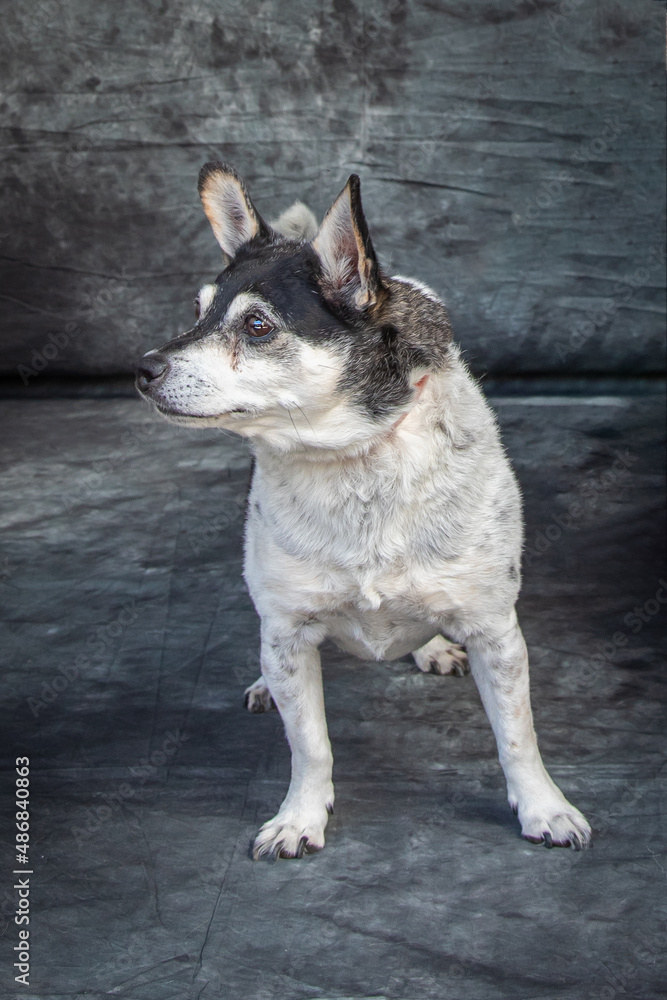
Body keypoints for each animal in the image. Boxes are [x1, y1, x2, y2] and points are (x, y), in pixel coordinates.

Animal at [134, 162, 588, 860]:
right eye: (197, 312)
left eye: (257, 326)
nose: (144, 368)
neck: (354, 459)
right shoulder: (289, 634)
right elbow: (309, 745)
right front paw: (299, 817)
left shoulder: (497, 633)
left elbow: (518, 737)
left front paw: (545, 808)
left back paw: (433, 647)